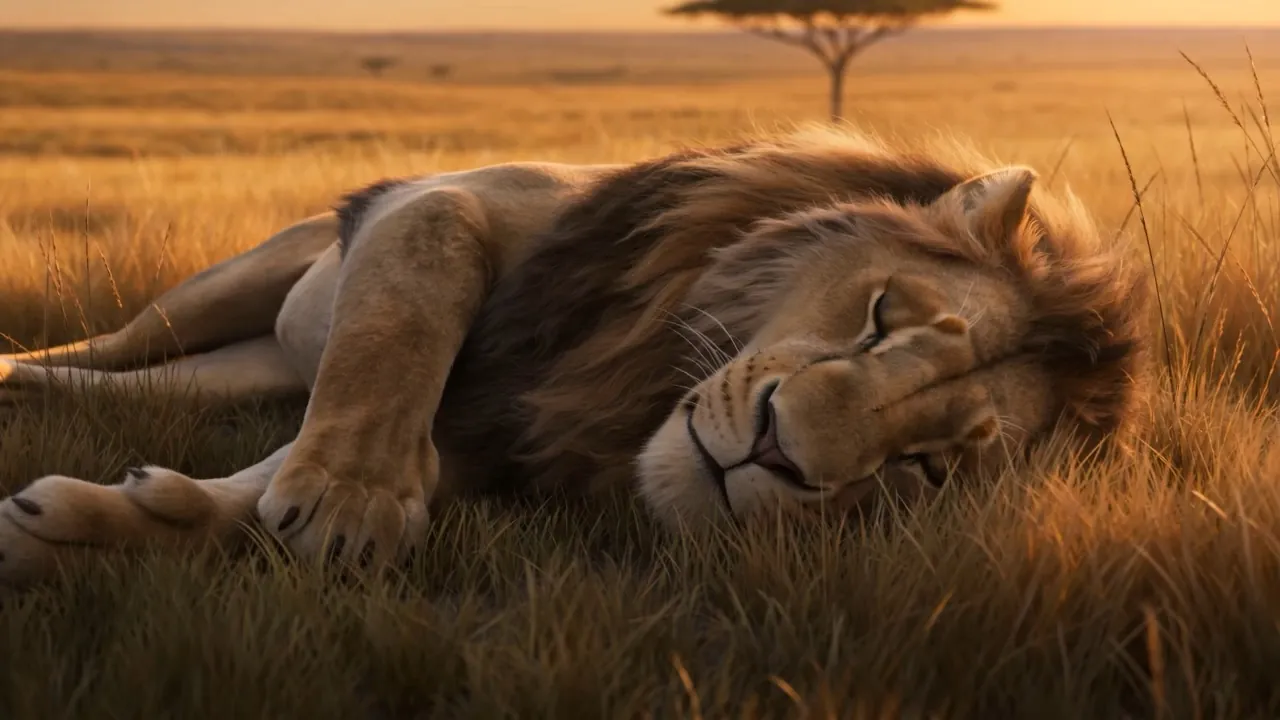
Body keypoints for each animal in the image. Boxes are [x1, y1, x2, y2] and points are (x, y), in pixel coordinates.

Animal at [0, 127, 1148, 587]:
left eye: (926, 469)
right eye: (879, 315)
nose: (777, 454)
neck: (632, 385)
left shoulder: (497, 446)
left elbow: (247, 498)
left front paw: (106, 528)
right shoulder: (443, 199)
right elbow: (397, 326)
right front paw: (347, 500)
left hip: (240, 368)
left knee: (137, 384)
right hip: (224, 288)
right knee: (109, 343)